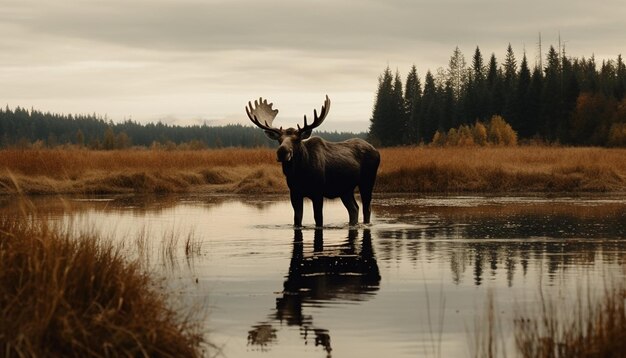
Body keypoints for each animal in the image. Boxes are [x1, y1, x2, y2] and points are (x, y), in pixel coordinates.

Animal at [246, 96, 378, 227]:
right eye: (279, 139)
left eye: (297, 140)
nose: (282, 152)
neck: (300, 174)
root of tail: (376, 151)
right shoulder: (294, 193)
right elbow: (297, 219)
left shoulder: (318, 192)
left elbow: (319, 219)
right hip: (345, 189)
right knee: (354, 208)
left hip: (367, 181)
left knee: (366, 208)